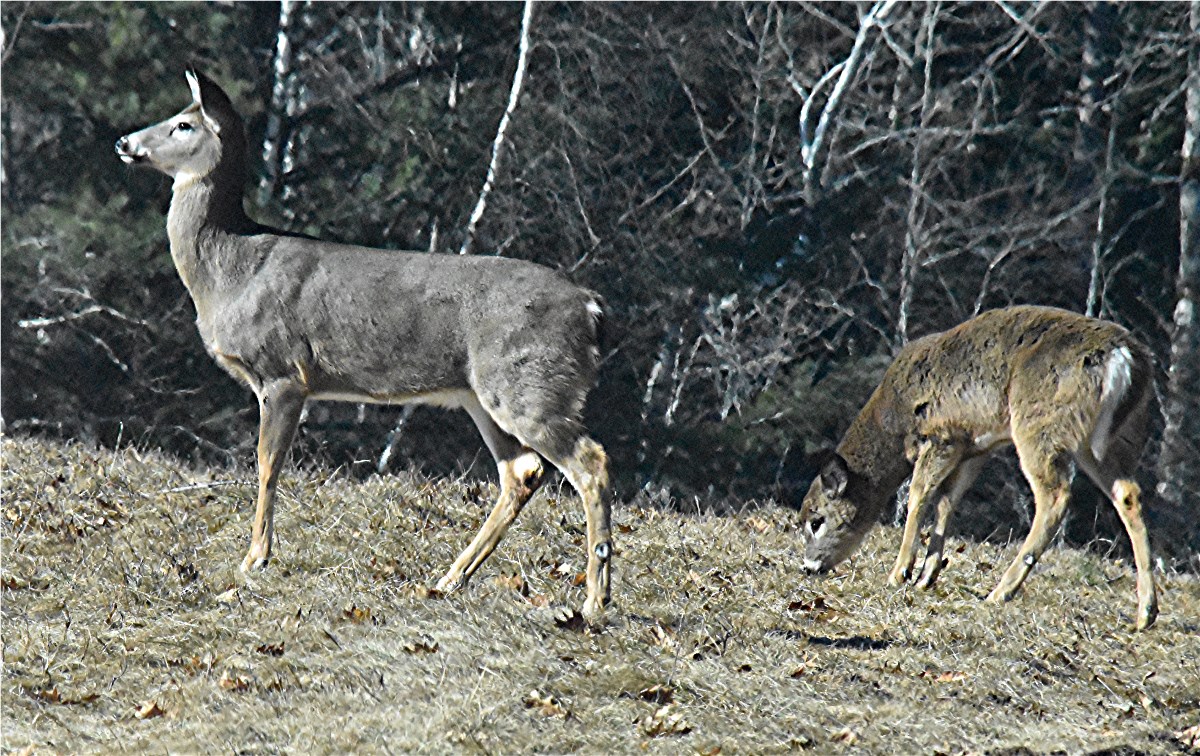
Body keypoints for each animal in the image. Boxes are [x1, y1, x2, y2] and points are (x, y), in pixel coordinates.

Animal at [115, 70, 613, 619]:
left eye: (184, 124)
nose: (124, 142)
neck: (230, 272)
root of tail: (590, 307)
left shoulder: (283, 372)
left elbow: (267, 465)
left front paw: (254, 559)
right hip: (484, 394)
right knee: (523, 471)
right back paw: (449, 579)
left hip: (529, 382)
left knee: (590, 462)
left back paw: (595, 598)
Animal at [799, 305, 1159, 630]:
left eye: (816, 520)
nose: (808, 566)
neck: (894, 421)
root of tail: (1123, 358)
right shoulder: (975, 447)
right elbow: (946, 502)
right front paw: (927, 575)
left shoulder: (943, 434)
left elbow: (919, 495)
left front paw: (900, 572)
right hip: (1112, 438)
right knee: (1128, 493)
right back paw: (1145, 613)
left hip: (1040, 425)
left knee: (1054, 496)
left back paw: (1001, 591)